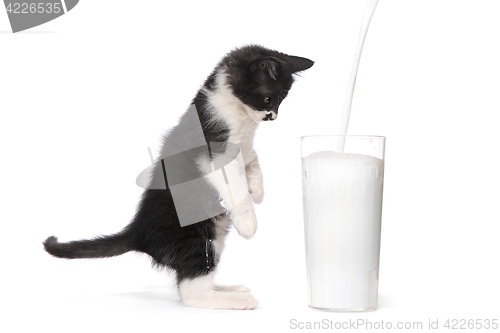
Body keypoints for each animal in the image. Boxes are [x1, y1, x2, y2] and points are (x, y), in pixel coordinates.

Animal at [45, 44, 314, 308]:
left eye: (281, 102)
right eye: (268, 98)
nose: (272, 116)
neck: (236, 113)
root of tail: (139, 232)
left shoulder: (244, 147)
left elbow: (253, 159)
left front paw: (257, 190)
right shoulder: (215, 152)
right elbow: (236, 185)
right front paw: (248, 222)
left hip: (213, 239)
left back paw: (227, 288)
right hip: (194, 236)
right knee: (192, 292)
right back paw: (237, 299)